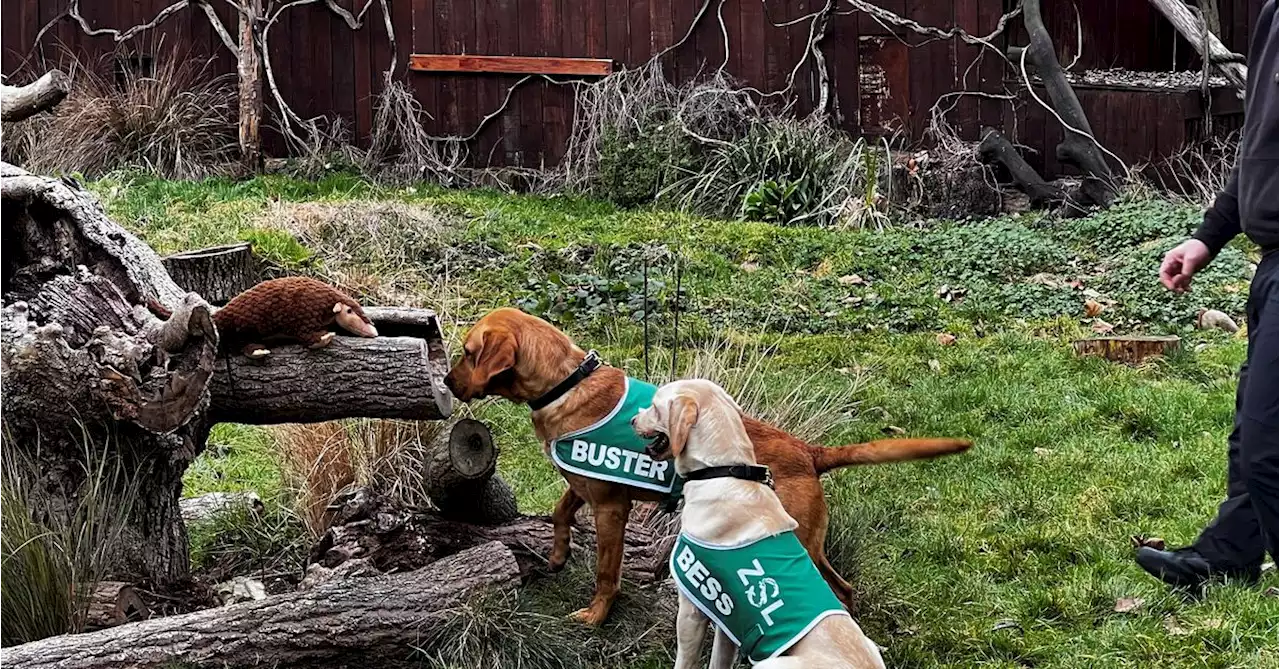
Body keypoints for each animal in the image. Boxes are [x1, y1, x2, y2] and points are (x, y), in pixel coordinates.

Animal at [442, 309, 967, 629]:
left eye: (467, 353)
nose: (445, 381)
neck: (565, 384)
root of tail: (808, 451)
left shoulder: (611, 507)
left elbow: (607, 573)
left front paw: (596, 615)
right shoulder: (584, 486)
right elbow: (559, 512)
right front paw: (555, 555)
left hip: (797, 544)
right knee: (846, 589)